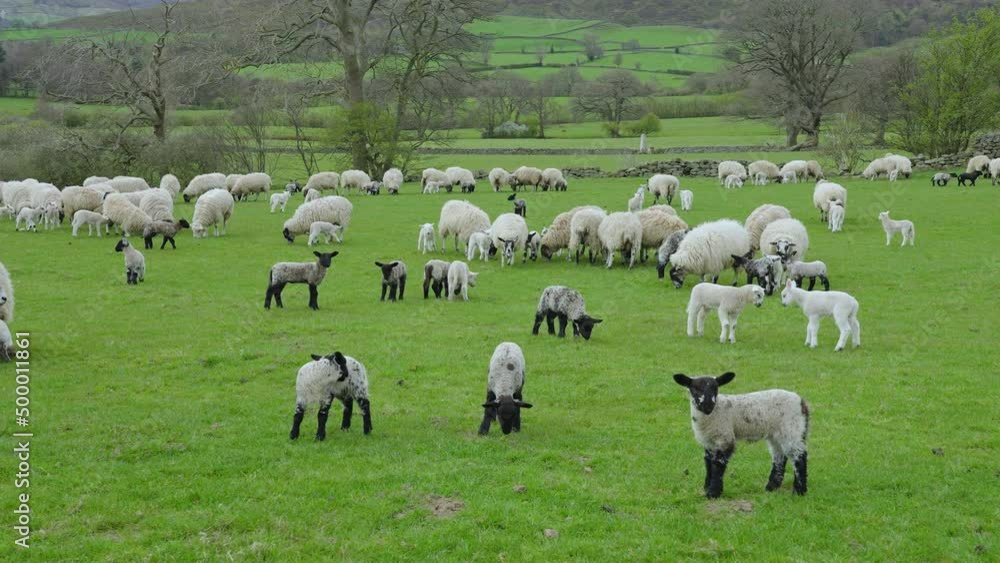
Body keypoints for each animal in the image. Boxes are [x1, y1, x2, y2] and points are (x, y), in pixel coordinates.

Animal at [672, 371, 810, 498]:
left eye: (716, 388)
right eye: (695, 388)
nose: (708, 405)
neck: (714, 413)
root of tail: (802, 402)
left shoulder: (725, 437)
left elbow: (718, 464)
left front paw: (713, 492)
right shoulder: (709, 442)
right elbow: (708, 463)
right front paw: (706, 487)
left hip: (792, 428)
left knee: (799, 457)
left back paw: (799, 491)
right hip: (776, 434)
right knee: (779, 457)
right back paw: (771, 487)